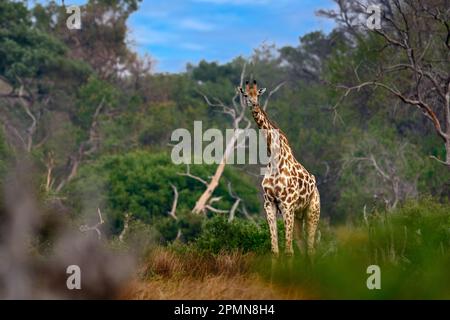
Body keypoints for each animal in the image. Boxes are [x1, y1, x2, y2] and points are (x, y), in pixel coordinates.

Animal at [237, 80, 322, 258]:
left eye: (258, 94)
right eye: (246, 95)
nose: (254, 105)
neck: (274, 156)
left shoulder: (287, 204)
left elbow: (288, 251)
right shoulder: (269, 204)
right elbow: (275, 250)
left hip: (312, 210)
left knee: (311, 249)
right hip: (298, 215)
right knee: (302, 246)